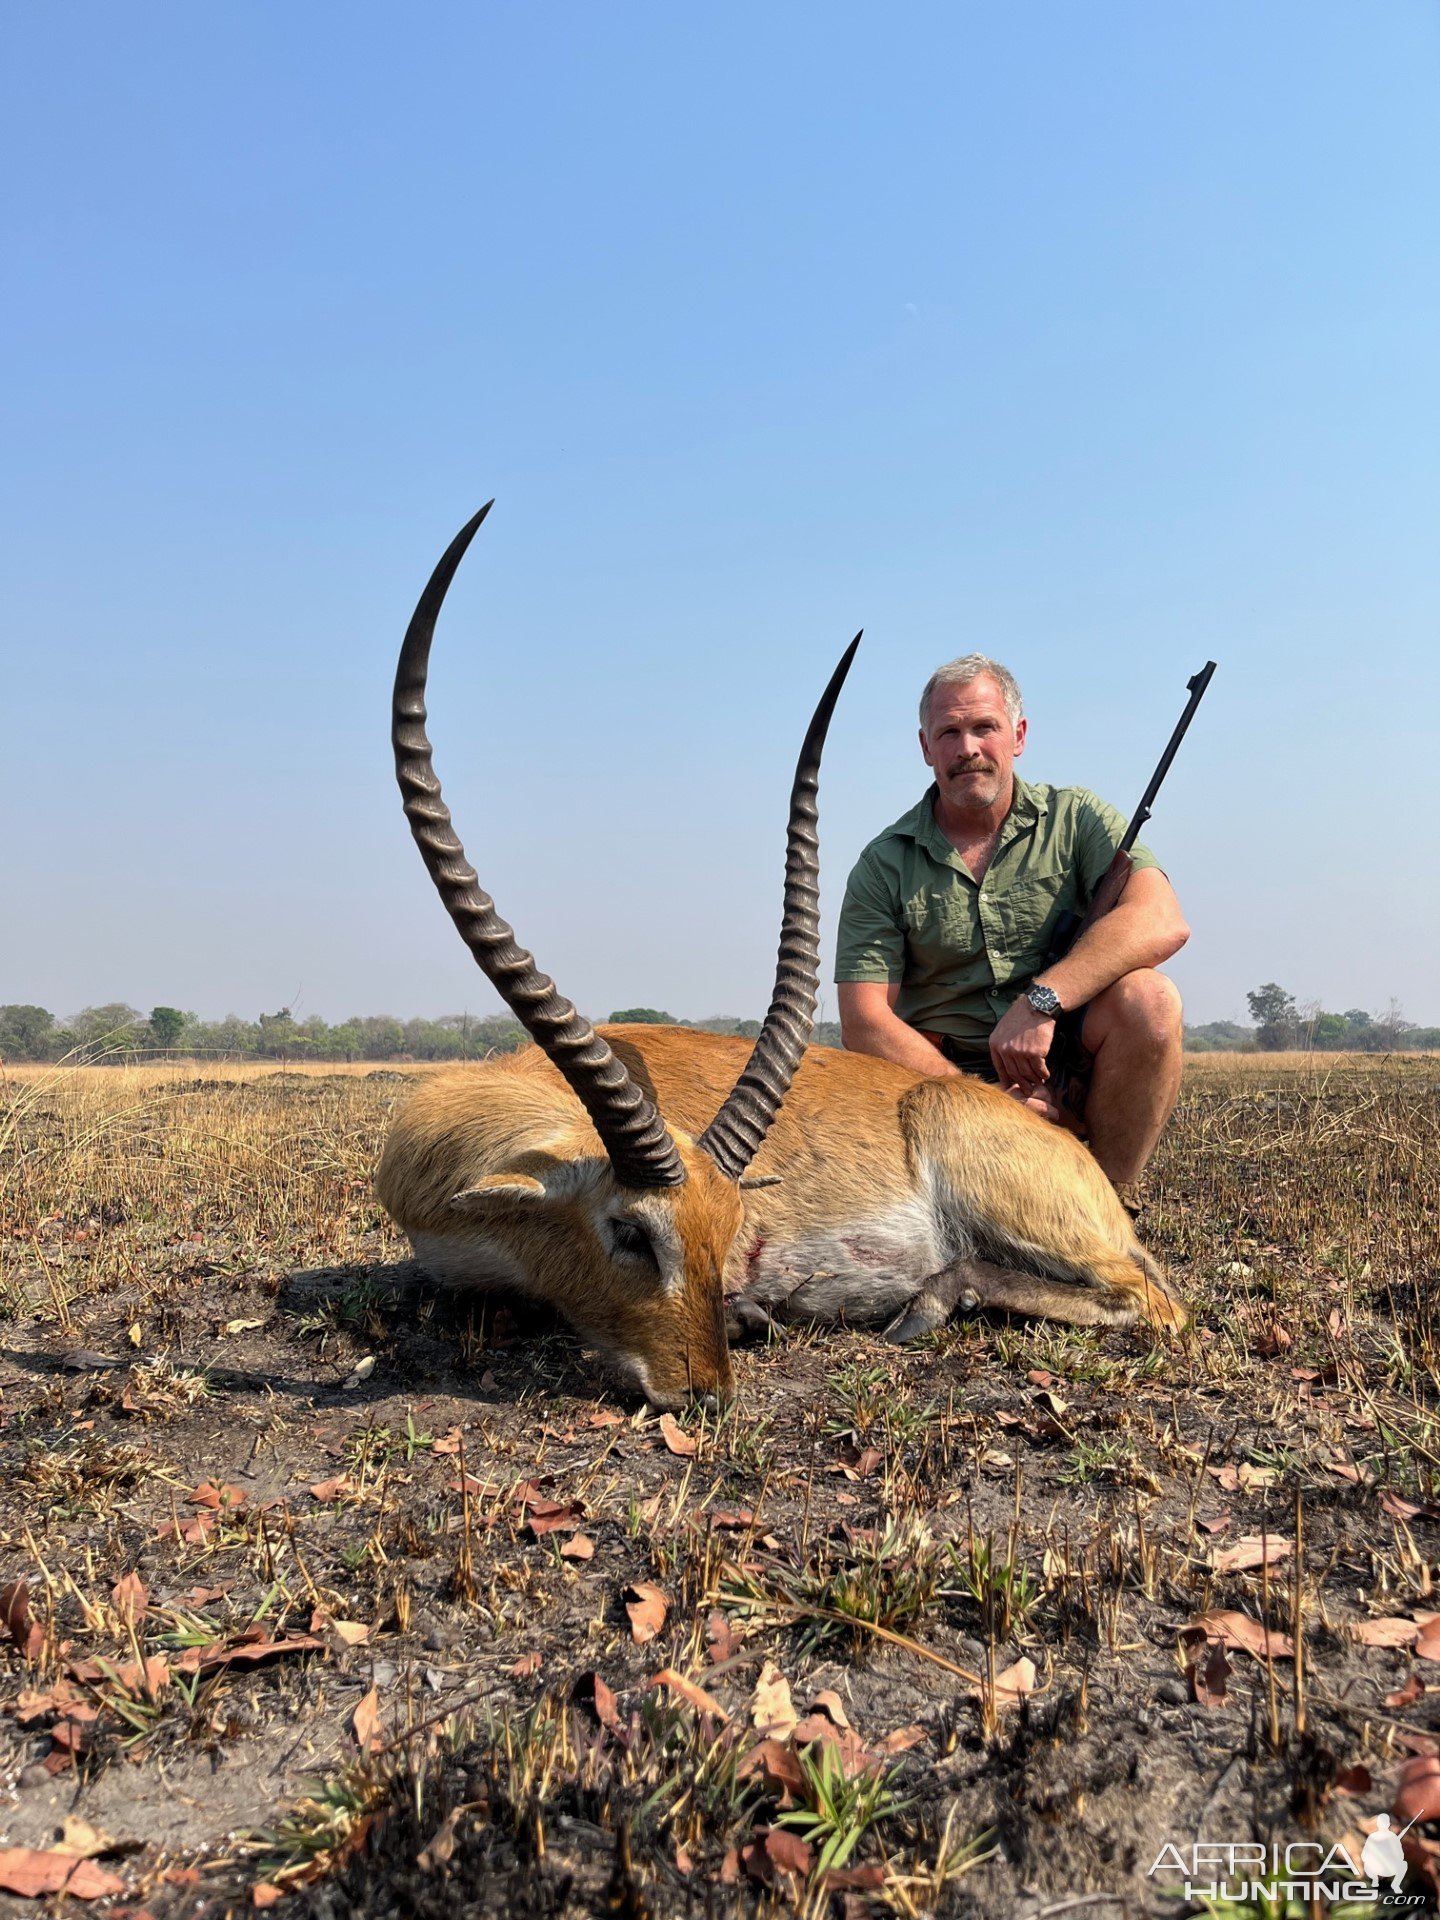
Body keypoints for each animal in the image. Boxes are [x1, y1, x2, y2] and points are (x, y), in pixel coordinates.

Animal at [378, 510, 1190, 1413]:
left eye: (728, 1226)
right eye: (629, 1230)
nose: (707, 1395)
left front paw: (752, 1317)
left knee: (1154, 1299)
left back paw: (929, 1302)